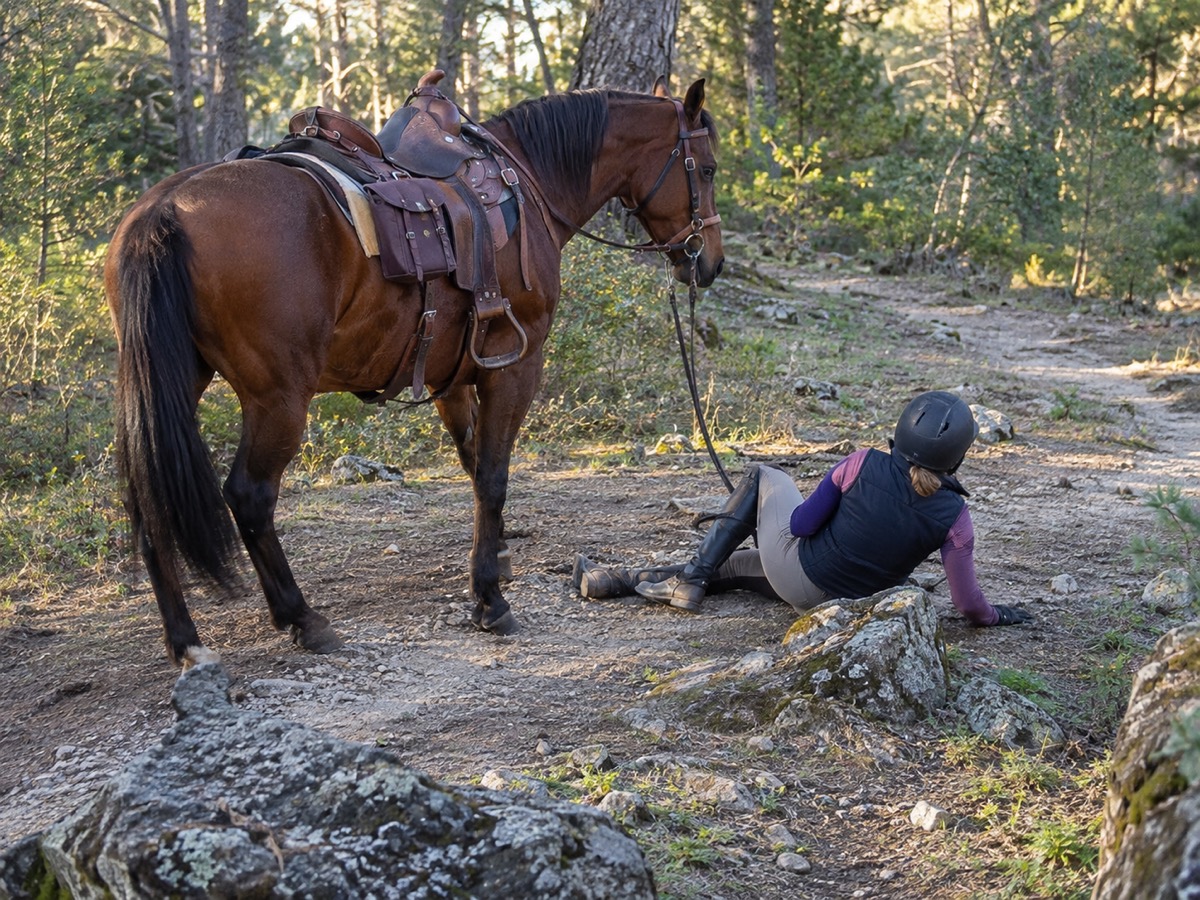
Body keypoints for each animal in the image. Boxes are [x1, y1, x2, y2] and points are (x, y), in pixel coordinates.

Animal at [106, 78, 724, 667]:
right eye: (709, 168)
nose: (710, 262)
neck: (526, 182)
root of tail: (164, 210)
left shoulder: (454, 375)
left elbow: (474, 466)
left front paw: (497, 557)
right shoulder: (516, 365)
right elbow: (494, 475)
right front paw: (489, 599)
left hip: (169, 386)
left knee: (147, 500)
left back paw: (185, 640)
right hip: (278, 397)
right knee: (250, 497)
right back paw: (302, 618)